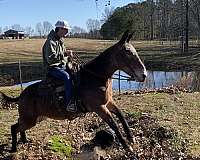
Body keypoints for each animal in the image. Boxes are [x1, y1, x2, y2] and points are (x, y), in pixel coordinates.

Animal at [0, 30, 147, 152]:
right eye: (128, 52)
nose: (144, 75)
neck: (94, 77)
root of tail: (21, 95)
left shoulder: (108, 102)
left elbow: (121, 115)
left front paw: (131, 138)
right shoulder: (99, 108)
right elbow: (114, 124)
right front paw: (127, 146)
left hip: (35, 118)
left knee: (18, 125)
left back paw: (24, 140)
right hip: (29, 119)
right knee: (14, 127)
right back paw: (14, 149)